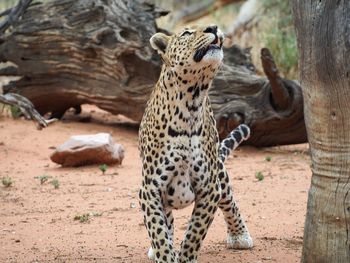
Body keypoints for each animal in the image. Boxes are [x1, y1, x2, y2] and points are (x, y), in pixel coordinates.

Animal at [138, 24, 253, 263]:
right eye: (186, 33)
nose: (214, 27)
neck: (191, 102)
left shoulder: (210, 188)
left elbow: (194, 232)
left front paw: (186, 256)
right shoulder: (150, 189)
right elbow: (158, 230)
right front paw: (164, 253)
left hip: (219, 173)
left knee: (230, 202)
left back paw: (240, 235)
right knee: (167, 219)